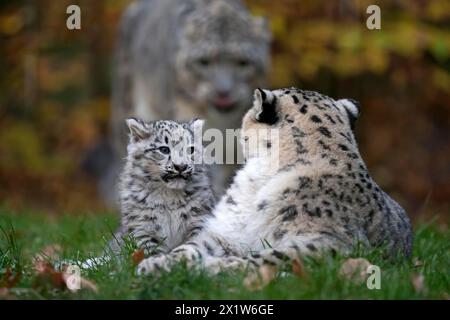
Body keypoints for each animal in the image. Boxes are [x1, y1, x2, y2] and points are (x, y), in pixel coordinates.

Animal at [136, 87, 412, 276]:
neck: (257, 183)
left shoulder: (325, 242)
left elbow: (269, 257)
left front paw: (215, 268)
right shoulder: (228, 230)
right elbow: (191, 246)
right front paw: (156, 264)